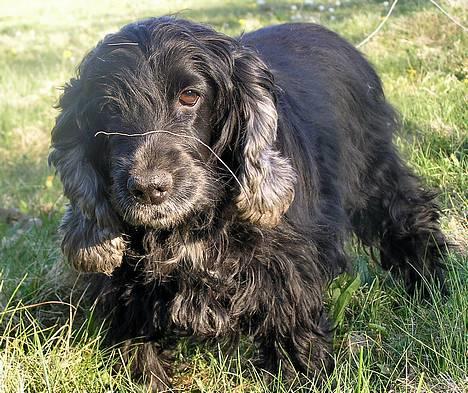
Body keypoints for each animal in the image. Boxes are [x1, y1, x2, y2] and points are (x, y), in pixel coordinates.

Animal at [49, 17, 448, 388]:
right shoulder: (129, 297)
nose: (148, 188)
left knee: (411, 218)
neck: (191, 228)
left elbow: (297, 348)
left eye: (190, 96)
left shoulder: (287, 280)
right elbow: (140, 356)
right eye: (108, 108)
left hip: (373, 175)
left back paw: (430, 289)